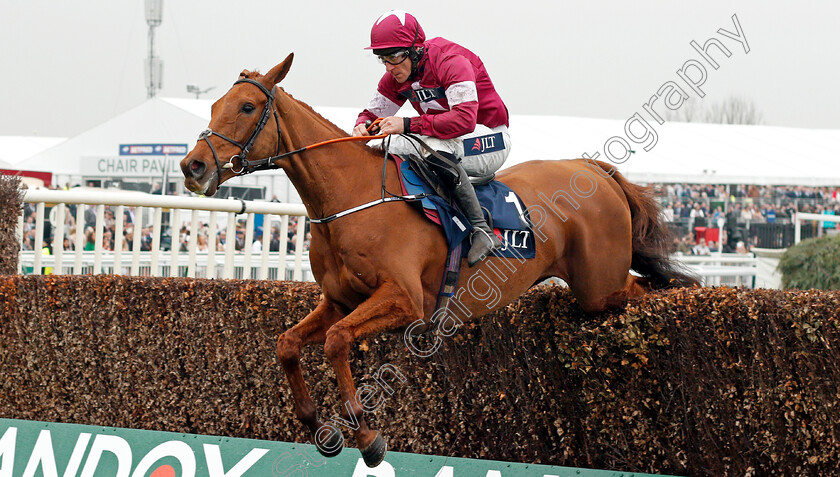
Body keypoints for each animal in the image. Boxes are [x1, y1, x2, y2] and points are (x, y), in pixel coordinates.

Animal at [182, 54, 696, 464]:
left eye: (247, 107)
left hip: (599, 287)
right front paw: (317, 425)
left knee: (641, 289)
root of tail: (593, 167)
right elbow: (288, 343)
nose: (193, 166)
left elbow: (335, 341)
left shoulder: (406, 302)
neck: (353, 198)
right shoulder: (339, 301)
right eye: (212, 106)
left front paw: (366, 435)